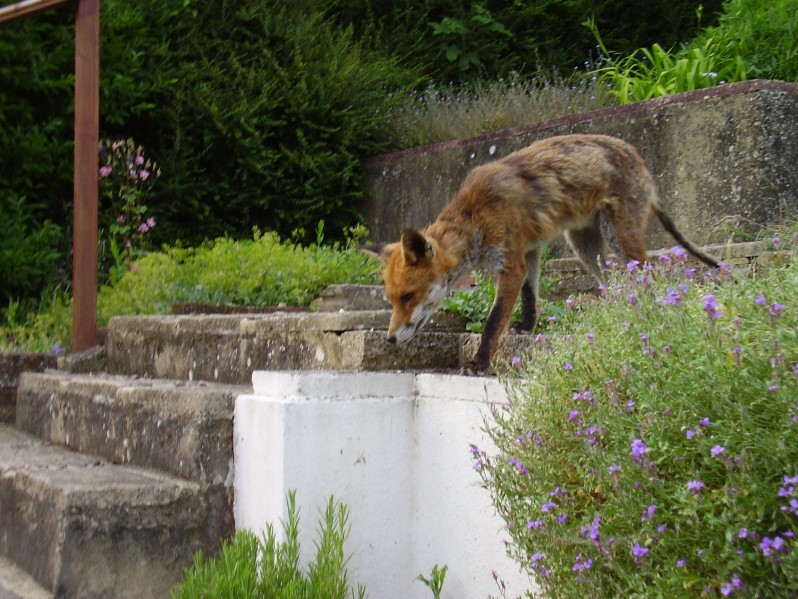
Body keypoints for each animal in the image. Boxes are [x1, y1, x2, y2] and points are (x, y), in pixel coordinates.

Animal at [362, 136, 720, 376]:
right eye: (391, 299)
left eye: (408, 296)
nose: (389, 340)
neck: (475, 217)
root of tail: (638, 156)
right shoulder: (529, 250)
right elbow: (531, 295)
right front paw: (526, 326)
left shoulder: (510, 262)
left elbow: (493, 321)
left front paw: (480, 362)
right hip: (586, 249)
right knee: (616, 281)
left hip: (619, 239)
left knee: (646, 274)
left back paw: (650, 310)